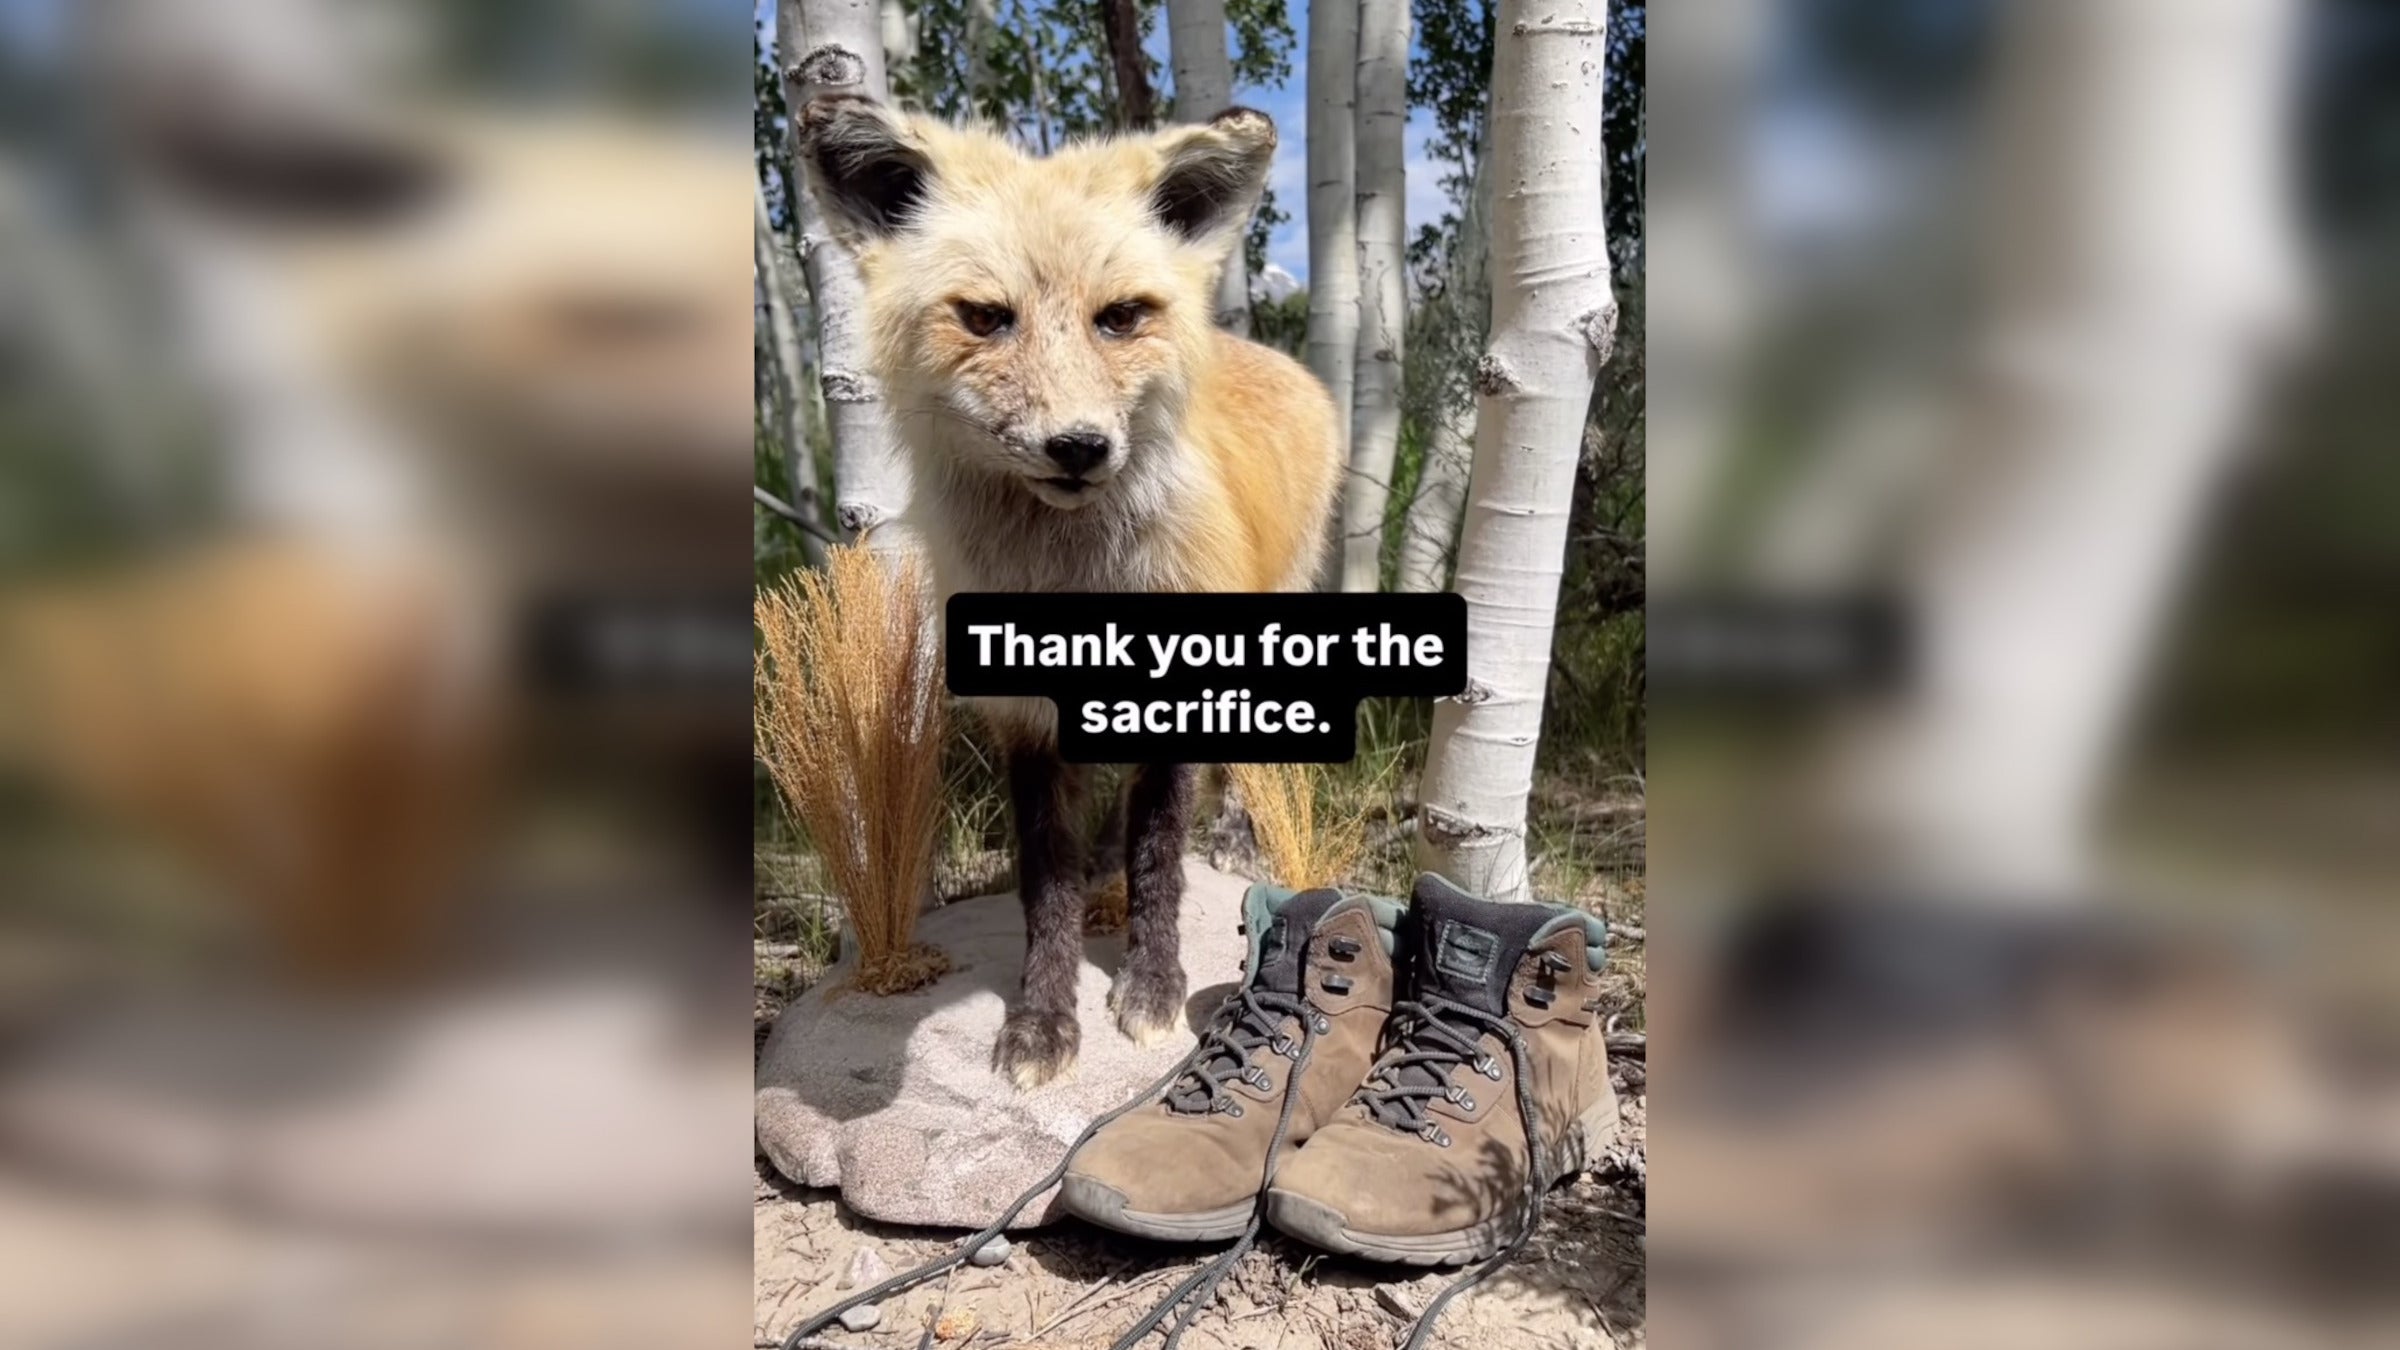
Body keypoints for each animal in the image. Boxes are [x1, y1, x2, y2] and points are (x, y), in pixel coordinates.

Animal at [796, 97, 1343, 1088]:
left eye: (1120, 318)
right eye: (984, 318)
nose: (1081, 447)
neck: (1073, 580)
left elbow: (1159, 858)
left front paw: (1153, 985)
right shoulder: (1026, 720)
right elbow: (1044, 885)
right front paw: (1044, 1018)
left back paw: (1236, 836)